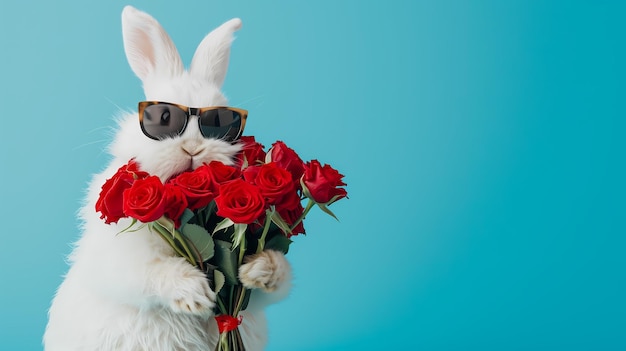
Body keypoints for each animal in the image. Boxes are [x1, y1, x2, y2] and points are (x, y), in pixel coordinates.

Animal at [44, 6, 292, 351]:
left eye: (220, 122)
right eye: (163, 118)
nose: (193, 148)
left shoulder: (257, 300)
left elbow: (276, 279)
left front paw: (258, 270)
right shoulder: (117, 258)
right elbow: (149, 271)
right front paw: (195, 293)